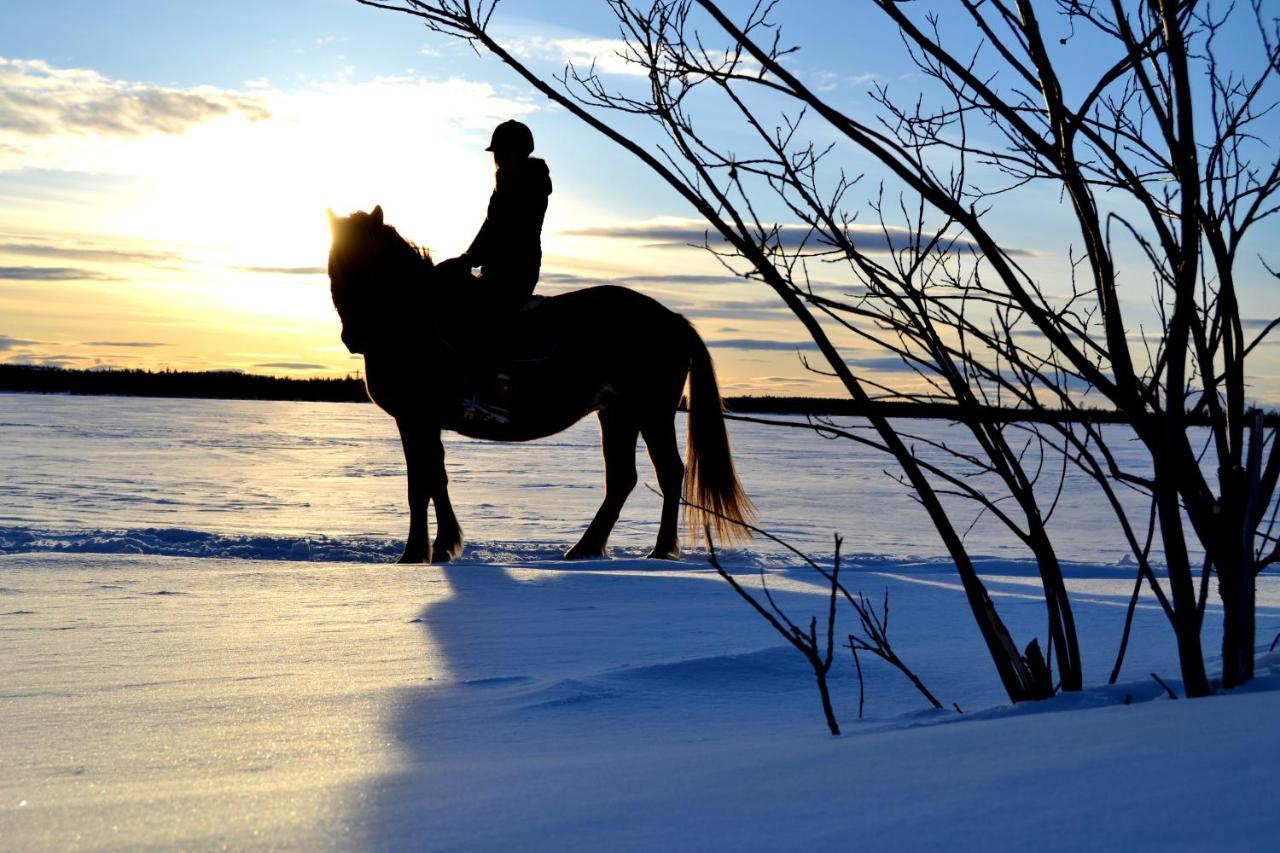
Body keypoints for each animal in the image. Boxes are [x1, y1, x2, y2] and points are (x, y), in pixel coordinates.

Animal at [325, 206, 752, 560]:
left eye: (367, 266)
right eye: (334, 267)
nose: (353, 338)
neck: (413, 322)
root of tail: (674, 320)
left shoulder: (416, 419)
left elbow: (421, 484)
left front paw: (416, 553)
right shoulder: (423, 422)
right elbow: (436, 480)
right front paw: (443, 546)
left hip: (651, 413)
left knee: (669, 472)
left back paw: (659, 551)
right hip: (618, 415)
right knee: (622, 479)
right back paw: (586, 548)